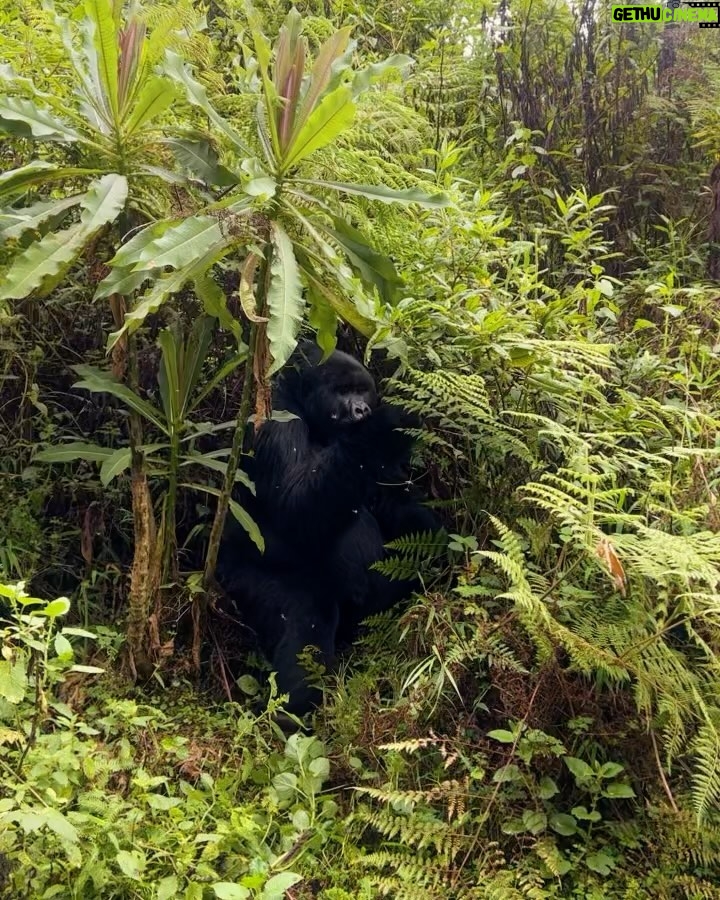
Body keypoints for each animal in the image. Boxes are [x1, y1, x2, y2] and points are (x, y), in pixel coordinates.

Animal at [214, 344, 438, 716]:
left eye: (362, 390)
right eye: (343, 391)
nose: (362, 409)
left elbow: (394, 502)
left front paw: (431, 531)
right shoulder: (278, 418)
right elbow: (296, 507)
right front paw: (385, 426)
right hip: (236, 579)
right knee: (307, 621)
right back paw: (291, 714)